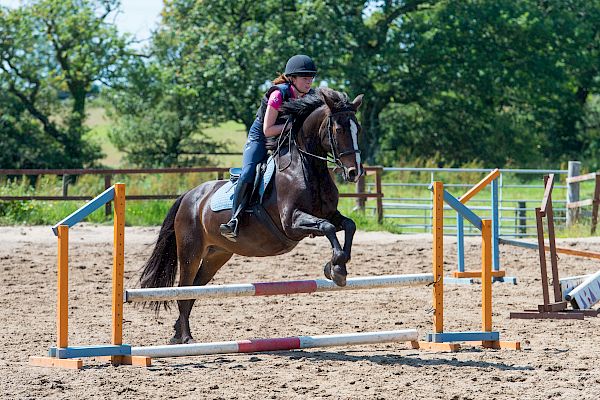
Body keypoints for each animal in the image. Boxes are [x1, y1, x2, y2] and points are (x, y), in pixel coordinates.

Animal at [141, 87, 366, 344]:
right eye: (338, 129)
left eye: (358, 128)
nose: (354, 172)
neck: (307, 168)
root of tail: (189, 195)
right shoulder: (292, 223)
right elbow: (327, 227)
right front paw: (336, 268)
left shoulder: (330, 214)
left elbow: (349, 225)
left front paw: (338, 266)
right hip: (190, 251)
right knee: (184, 289)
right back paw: (186, 338)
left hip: (216, 255)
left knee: (195, 290)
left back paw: (178, 334)